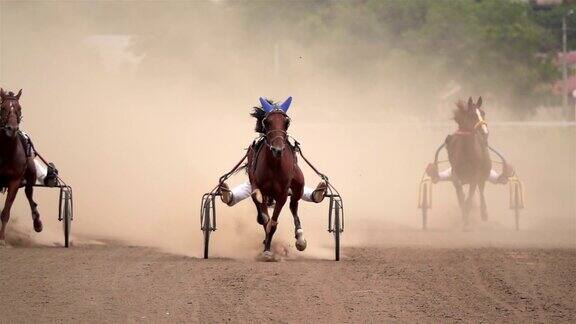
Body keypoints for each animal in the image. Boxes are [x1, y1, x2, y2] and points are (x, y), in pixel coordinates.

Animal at [0, 88, 42, 246]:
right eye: (3, 107)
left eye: (19, 108)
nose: (11, 129)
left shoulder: (14, 181)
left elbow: (5, 212)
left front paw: (2, 239)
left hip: (29, 178)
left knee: (30, 197)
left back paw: (37, 223)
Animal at [249, 97, 308, 260]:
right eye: (267, 122)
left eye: (286, 122)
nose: (278, 149)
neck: (274, 165)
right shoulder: (259, 187)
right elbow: (264, 215)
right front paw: (267, 247)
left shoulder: (282, 194)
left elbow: (274, 223)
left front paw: (268, 248)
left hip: (298, 184)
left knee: (294, 205)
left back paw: (300, 238)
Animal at [446, 96, 490, 225]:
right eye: (472, 115)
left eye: (483, 113)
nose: (485, 133)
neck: (466, 152)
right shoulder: (455, 174)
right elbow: (460, 193)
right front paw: (463, 208)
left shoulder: (475, 176)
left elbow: (471, 197)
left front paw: (466, 219)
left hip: (484, 171)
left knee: (481, 189)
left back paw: (483, 212)